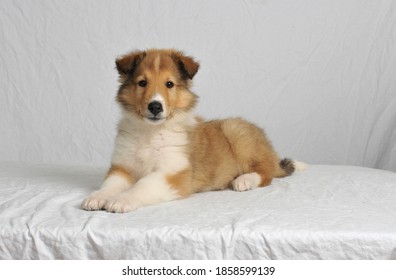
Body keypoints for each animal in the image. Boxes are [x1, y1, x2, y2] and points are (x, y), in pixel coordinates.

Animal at [79, 48, 304, 212]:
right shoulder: (122, 167)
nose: (155, 107)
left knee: (266, 172)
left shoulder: (173, 172)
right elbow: (109, 185)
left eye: (169, 84)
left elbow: (143, 185)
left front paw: (121, 200)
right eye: (142, 83)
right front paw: (97, 198)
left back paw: (244, 180)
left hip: (236, 132)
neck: (151, 132)